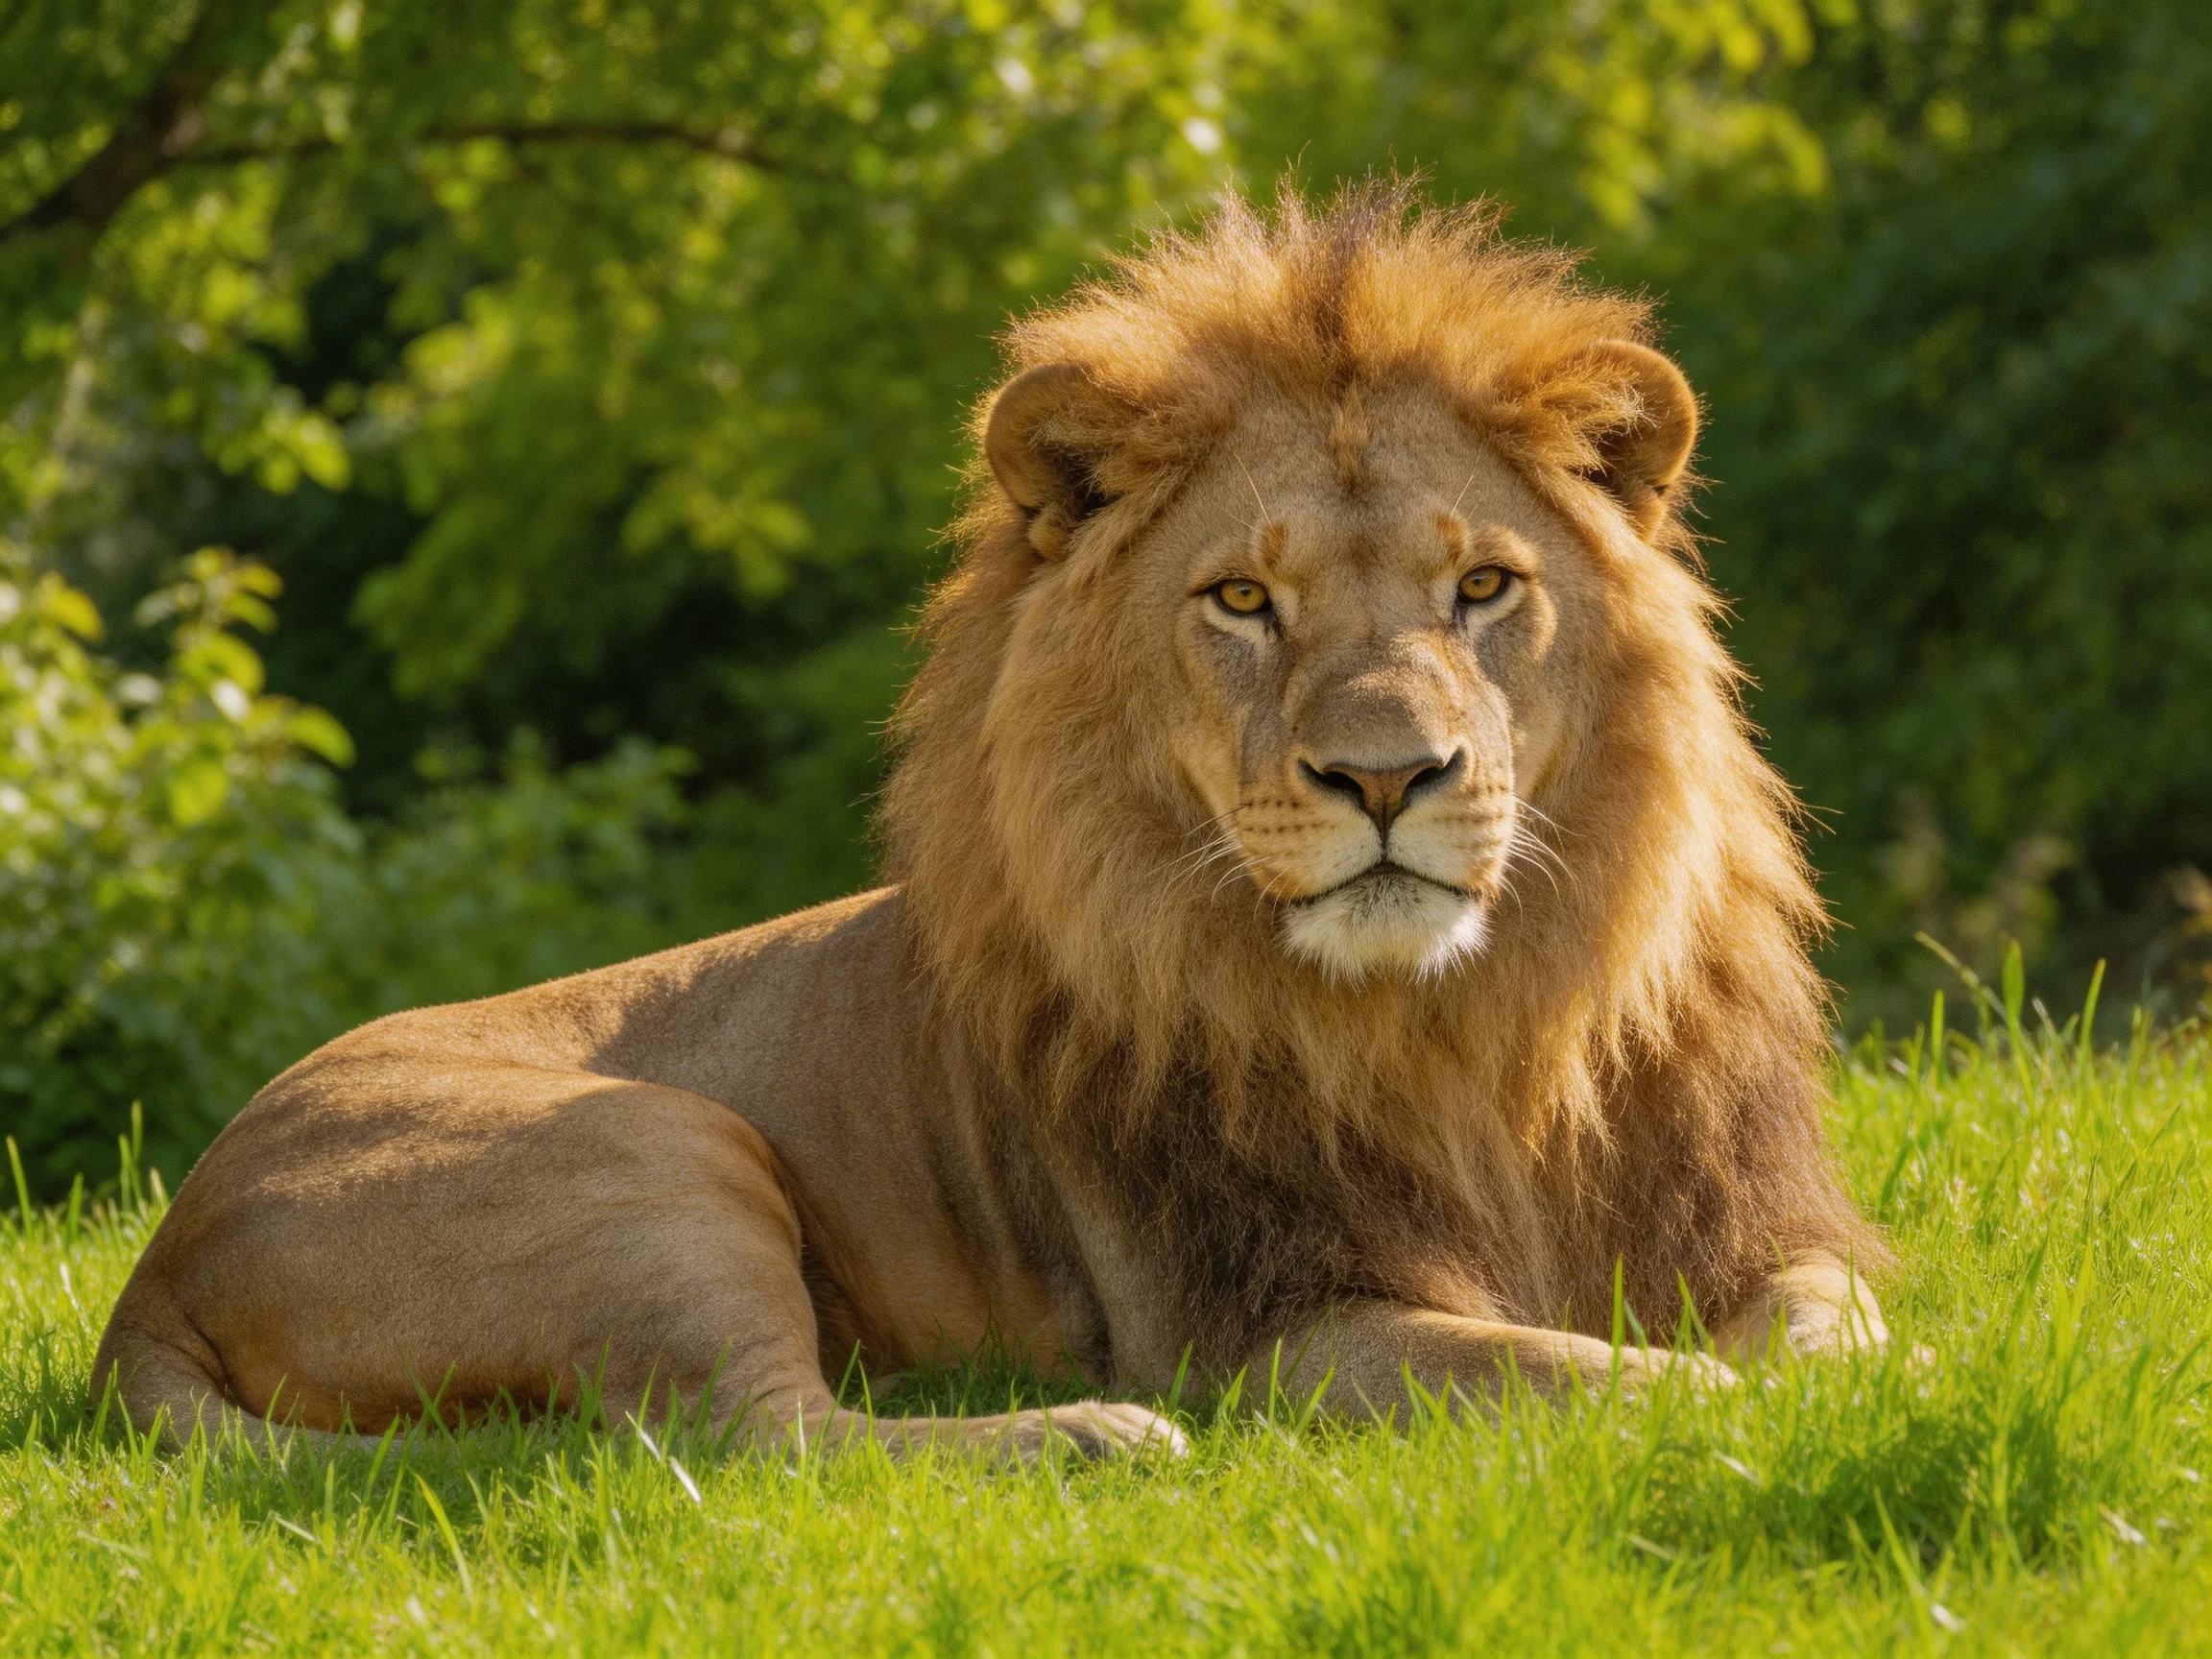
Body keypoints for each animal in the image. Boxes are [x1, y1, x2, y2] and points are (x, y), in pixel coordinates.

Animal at [92, 182, 1891, 1462]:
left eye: (1483, 589)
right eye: (1243, 600)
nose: (1387, 778)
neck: (1470, 1033)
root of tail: (152, 1273)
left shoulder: (1759, 1227)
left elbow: (1843, 1329)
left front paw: (1889, 1386)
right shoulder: (1276, 1333)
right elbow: (1587, 1371)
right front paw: (1732, 1411)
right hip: (656, 1151)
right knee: (749, 1444)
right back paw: (1090, 1439)